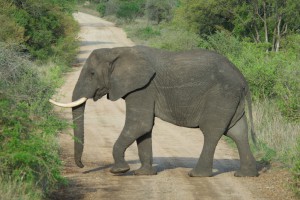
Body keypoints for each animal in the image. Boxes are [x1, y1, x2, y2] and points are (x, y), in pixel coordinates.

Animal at [49, 45, 258, 177]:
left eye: (92, 74)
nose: (81, 165)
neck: (118, 51)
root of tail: (242, 78)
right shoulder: (141, 88)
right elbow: (144, 128)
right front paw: (143, 174)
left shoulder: (143, 87)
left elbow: (139, 124)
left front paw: (119, 171)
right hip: (231, 98)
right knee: (238, 132)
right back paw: (245, 175)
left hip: (221, 95)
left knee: (212, 132)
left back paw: (197, 175)